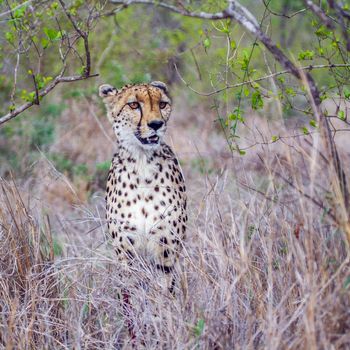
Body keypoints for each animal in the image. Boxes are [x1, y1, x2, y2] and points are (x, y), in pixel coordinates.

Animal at [98, 82, 189, 290]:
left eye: (162, 104)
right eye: (133, 105)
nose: (156, 124)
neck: (142, 162)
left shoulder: (166, 246)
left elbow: (164, 289)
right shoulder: (126, 248)